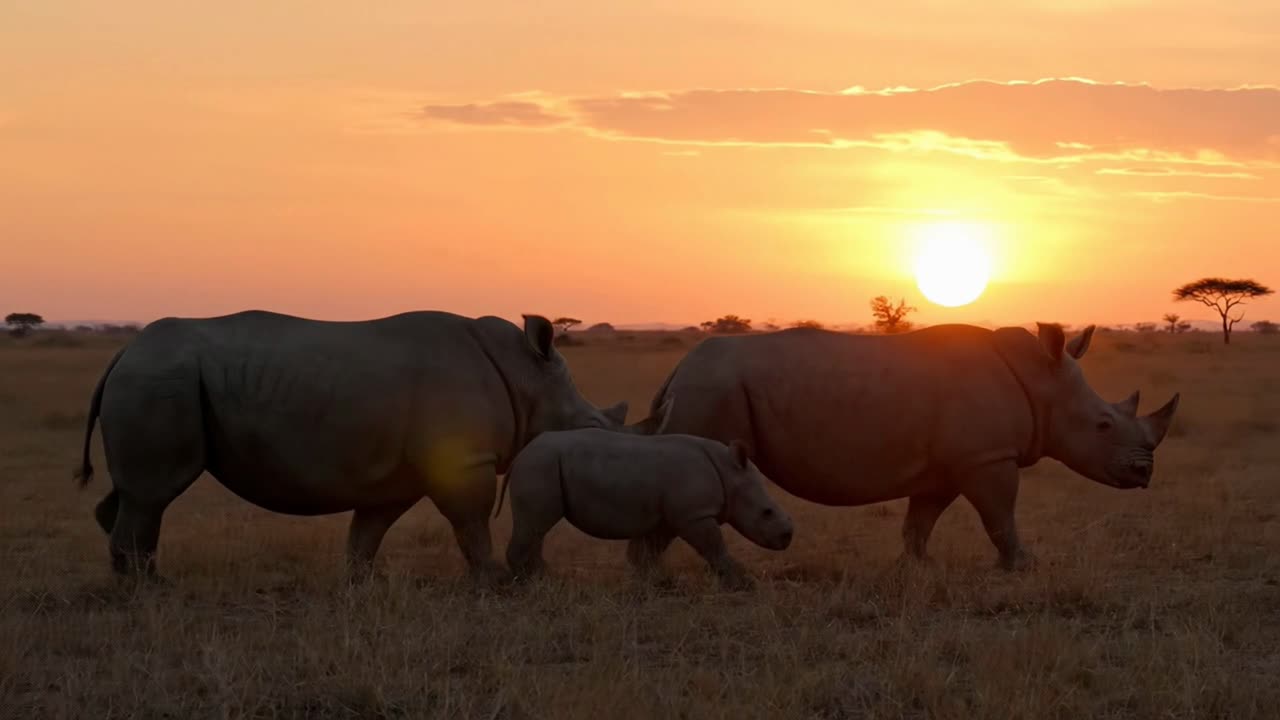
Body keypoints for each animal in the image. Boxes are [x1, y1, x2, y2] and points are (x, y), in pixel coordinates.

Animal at [73, 310, 629, 582]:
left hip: (159, 379)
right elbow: (471, 522)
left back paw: (136, 578)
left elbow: (370, 527)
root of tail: (124, 352)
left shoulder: (403, 473)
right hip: (160, 380)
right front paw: (493, 581)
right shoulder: (464, 459)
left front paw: (362, 582)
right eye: (591, 425)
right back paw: (147, 589)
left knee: (139, 493)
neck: (525, 372)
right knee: (155, 492)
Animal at [495, 428, 794, 590]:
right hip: (540, 466)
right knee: (534, 525)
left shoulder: (672, 517)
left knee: (537, 528)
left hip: (543, 465)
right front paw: (743, 584)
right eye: (767, 512)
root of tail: (520, 455)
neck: (728, 472)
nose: (787, 537)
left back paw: (547, 579)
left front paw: (658, 583)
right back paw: (528, 584)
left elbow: (648, 552)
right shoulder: (694, 514)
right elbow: (714, 547)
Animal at [631, 323, 1180, 570]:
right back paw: (651, 578)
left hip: (708, 387)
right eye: (1103, 425)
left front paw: (918, 568)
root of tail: (677, 371)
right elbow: (1001, 517)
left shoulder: (950, 464)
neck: (1040, 381)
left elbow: (921, 522)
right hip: (712, 390)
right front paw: (1022, 567)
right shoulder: (987, 457)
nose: (1145, 474)